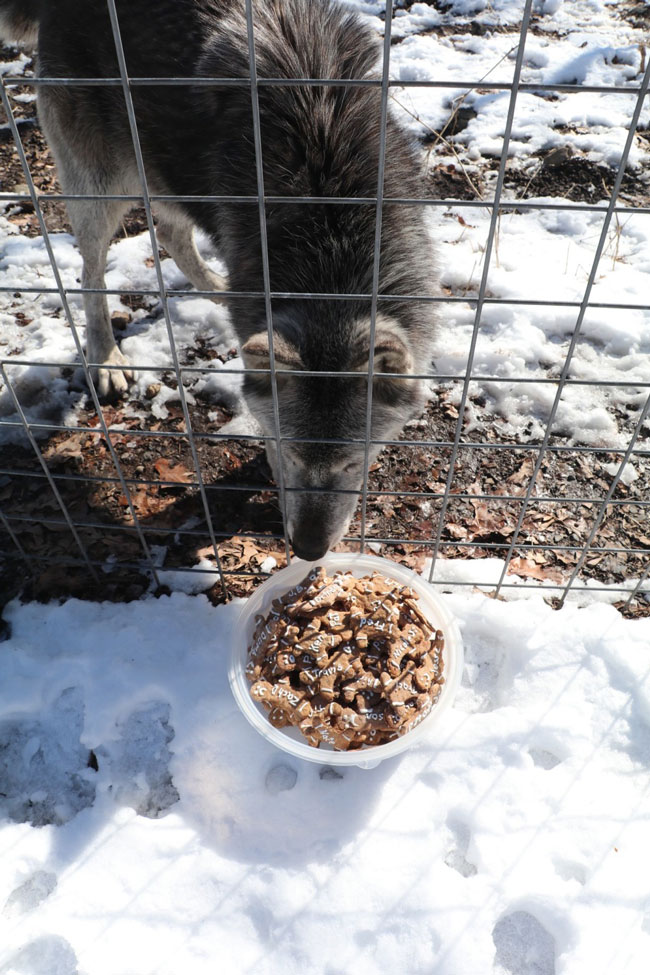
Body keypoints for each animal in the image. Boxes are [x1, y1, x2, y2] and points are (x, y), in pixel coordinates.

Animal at [2, 0, 436, 560]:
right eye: (290, 455)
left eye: (352, 465)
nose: (307, 551)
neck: (331, 233)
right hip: (101, 189)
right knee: (89, 272)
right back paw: (106, 357)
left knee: (170, 232)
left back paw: (218, 288)